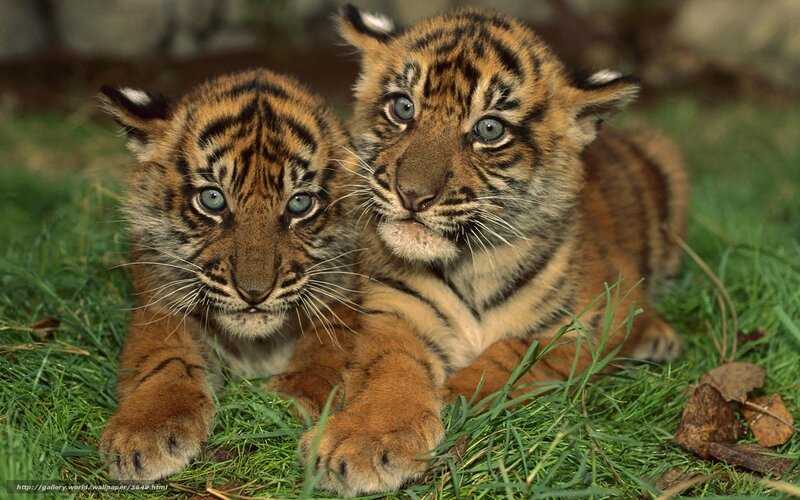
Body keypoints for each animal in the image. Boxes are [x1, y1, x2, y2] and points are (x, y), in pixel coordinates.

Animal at [98, 69, 362, 481]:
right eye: (213, 199)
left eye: (299, 203)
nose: (254, 293)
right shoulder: (159, 305)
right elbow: (165, 360)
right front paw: (143, 433)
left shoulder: (345, 299)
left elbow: (324, 353)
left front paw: (290, 400)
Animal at [293, 5, 689, 495]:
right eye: (403, 107)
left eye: (489, 128)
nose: (412, 195)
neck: (472, 264)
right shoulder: (395, 311)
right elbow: (391, 368)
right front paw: (365, 439)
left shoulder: (600, 313)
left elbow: (518, 352)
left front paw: (457, 393)